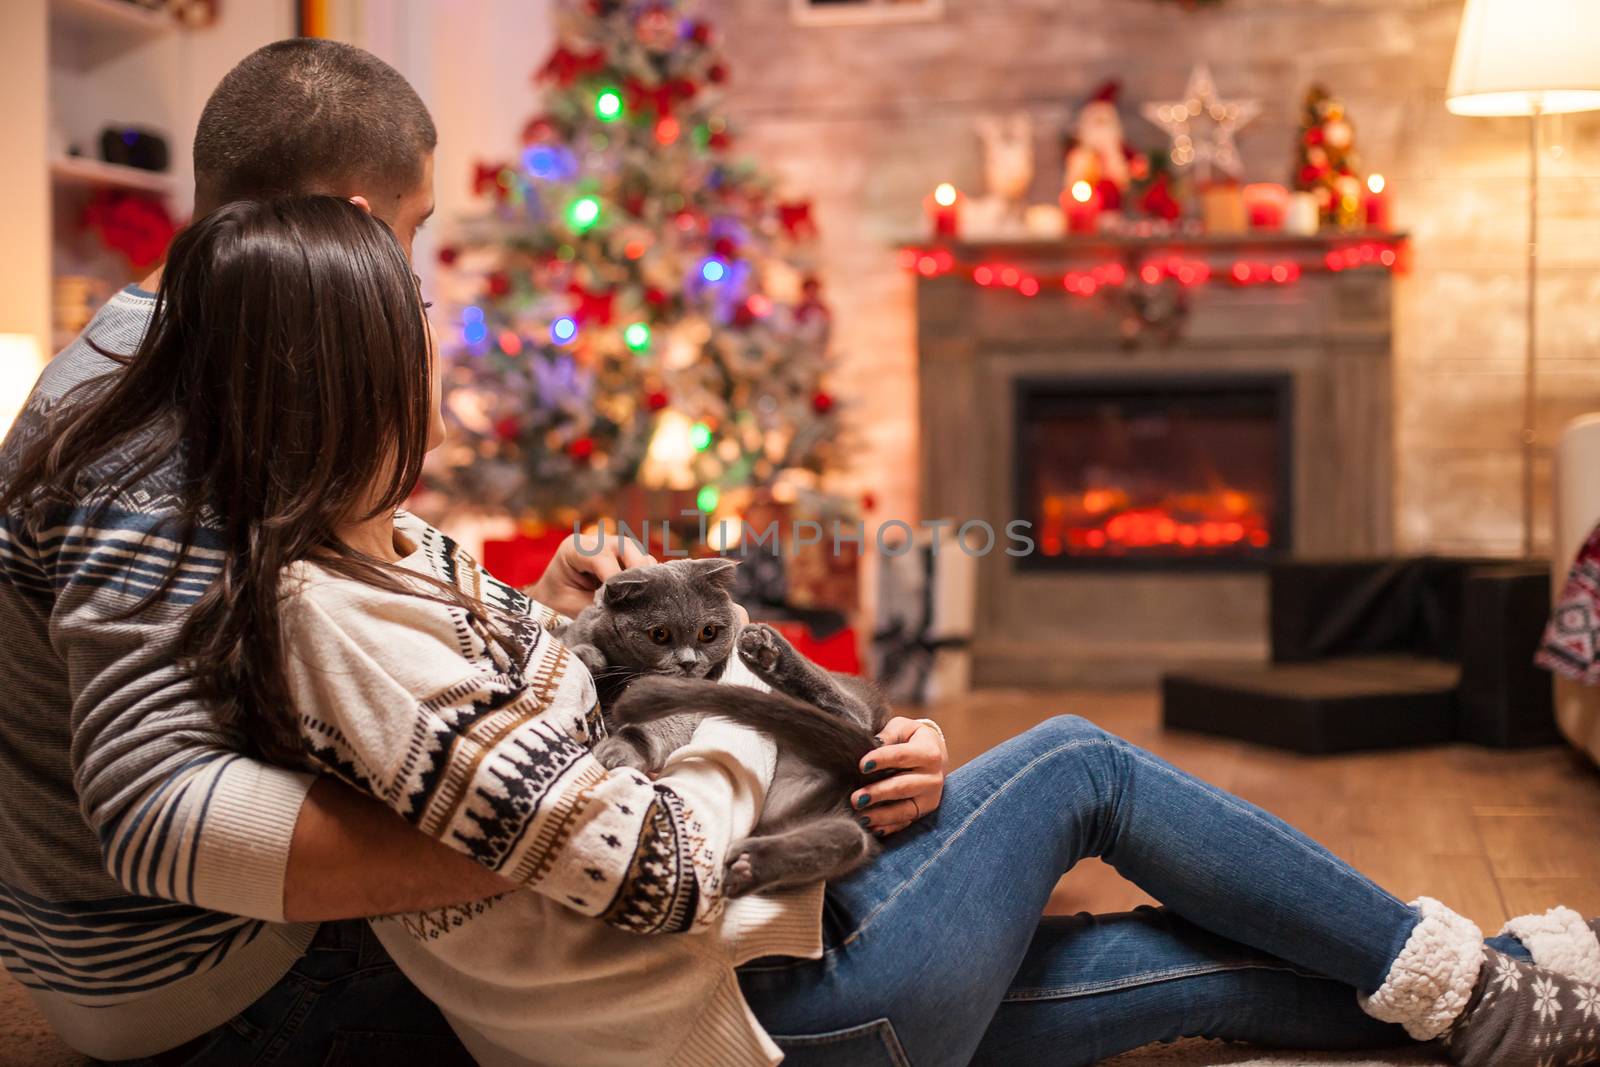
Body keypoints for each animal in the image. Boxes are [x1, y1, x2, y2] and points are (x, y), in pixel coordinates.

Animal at [556, 559, 896, 902]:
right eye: (659, 634)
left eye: (708, 632)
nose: (689, 663)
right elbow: (579, 643)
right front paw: (584, 655)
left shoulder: (691, 706)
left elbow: (658, 726)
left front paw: (620, 749)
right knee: (850, 838)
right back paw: (750, 866)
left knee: (854, 713)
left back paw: (766, 651)